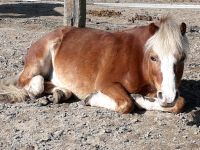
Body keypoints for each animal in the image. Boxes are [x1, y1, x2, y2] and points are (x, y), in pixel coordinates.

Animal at [0, 15, 188, 113]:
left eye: (182, 58)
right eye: (153, 58)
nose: (169, 96)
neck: (138, 59)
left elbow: (179, 103)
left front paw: (140, 98)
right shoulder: (106, 84)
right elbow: (126, 104)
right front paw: (92, 98)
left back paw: (61, 92)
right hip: (37, 63)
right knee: (30, 81)